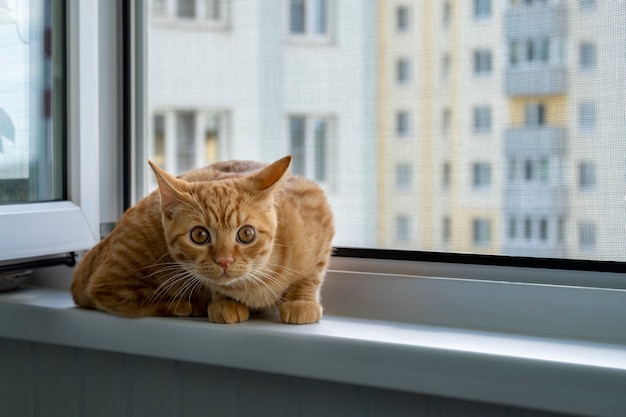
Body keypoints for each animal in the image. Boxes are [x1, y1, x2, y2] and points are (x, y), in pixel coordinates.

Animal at [70, 154, 334, 324]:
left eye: (246, 234)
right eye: (199, 235)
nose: (224, 261)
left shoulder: (318, 207)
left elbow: (311, 276)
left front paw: (301, 301)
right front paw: (223, 302)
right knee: (108, 293)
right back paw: (187, 305)